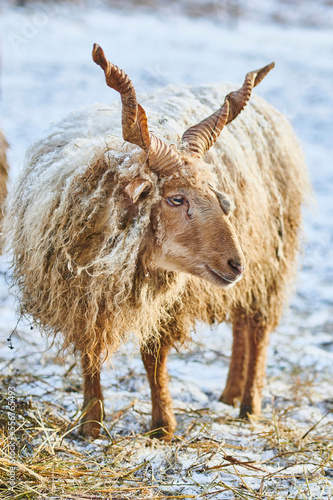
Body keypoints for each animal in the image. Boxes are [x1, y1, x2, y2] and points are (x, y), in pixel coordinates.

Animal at [5, 45, 310, 440]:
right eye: (176, 199)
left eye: (214, 194)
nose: (236, 264)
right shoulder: (83, 298)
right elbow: (89, 353)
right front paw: (91, 423)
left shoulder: (170, 303)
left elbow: (153, 358)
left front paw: (163, 425)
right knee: (242, 326)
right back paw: (228, 394)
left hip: (271, 259)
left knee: (256, 329)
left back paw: (249, 407)